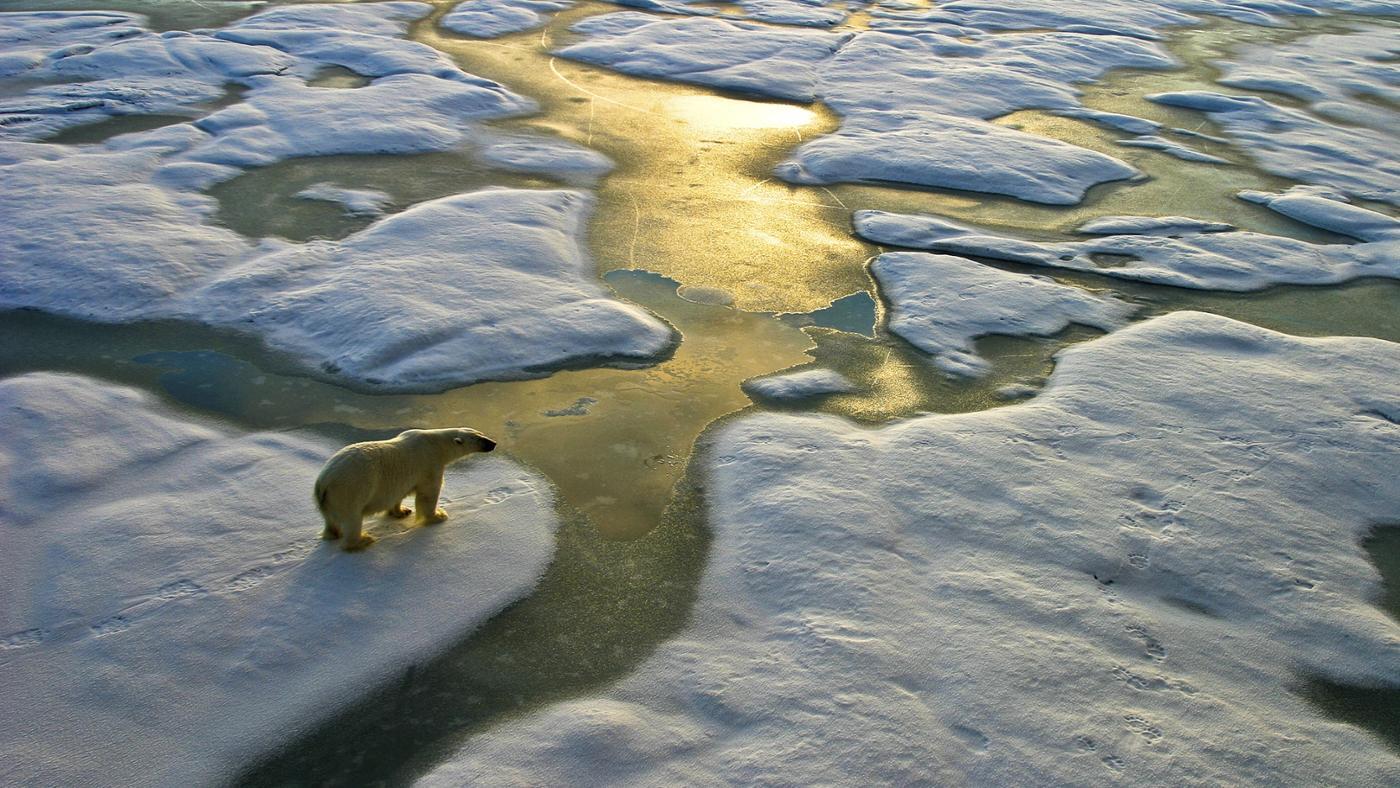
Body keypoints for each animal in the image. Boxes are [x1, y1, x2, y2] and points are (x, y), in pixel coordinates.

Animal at [316, 428, 498, 551]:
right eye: (478, 439)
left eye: (481, 433)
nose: (494, 443)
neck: (436, 444)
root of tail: (323, 482)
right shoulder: (430, 464)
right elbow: (428, 493)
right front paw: (438, 515)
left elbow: (398, 494)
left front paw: (402, 511)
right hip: (350, 490)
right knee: (352, 518)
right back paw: (363, 540)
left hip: (329, 500)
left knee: (330, 520)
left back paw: (333, 534)